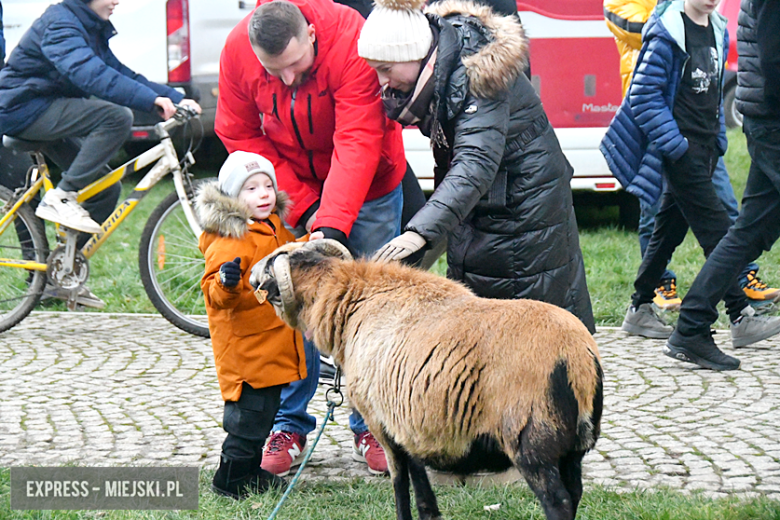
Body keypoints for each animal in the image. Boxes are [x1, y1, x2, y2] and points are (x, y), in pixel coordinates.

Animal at [250, 240, 604, 520]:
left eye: (273, 262)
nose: (250, 274)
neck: (353, 304)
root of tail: (576, 356)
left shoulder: (382, 425)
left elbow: (400, 487)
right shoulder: (409, 428)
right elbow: (423, 493)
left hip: (532, 444)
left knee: (558, 503)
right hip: (572, 449)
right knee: (575, 494)